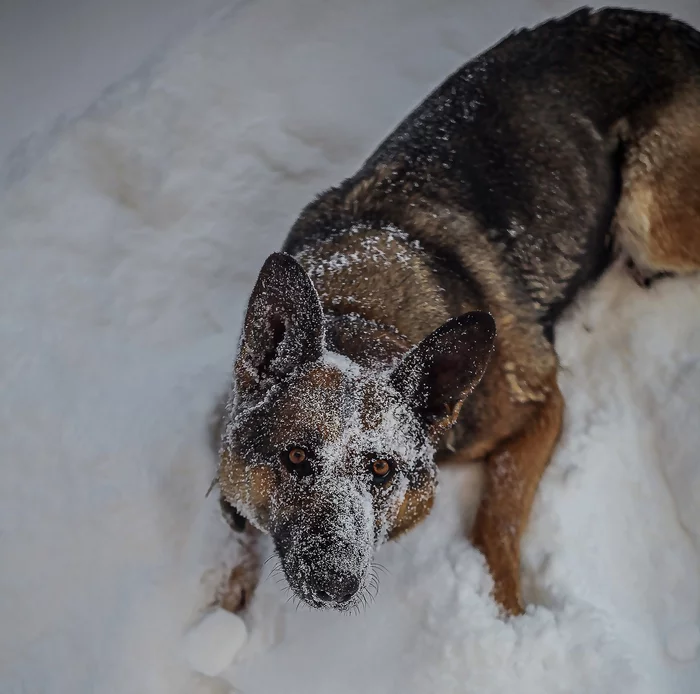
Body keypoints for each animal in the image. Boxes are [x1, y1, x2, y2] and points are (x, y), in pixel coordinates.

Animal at [212, 4, 700, 616]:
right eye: (296, 457)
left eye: (381, 469)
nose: (335, 584)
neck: (359, 317)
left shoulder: (542, 404)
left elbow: (497, 518)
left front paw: (504, 606)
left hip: (647, 215)